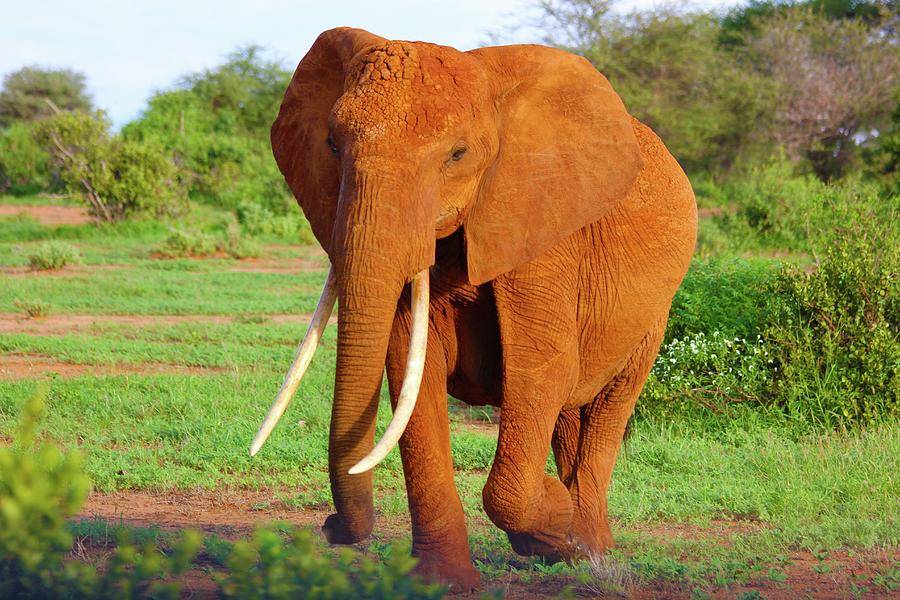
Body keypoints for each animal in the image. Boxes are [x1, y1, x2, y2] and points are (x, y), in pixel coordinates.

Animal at [249, 27, 697, 590]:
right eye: (331, 145)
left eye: (457, 155)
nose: (328, 526)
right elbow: (410, 372)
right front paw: (442, 583)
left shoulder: (540, 226)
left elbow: (542, 370)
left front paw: (552, 519)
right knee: (570, 414)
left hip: (655, 312)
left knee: (608, 405)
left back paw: (588, 551)